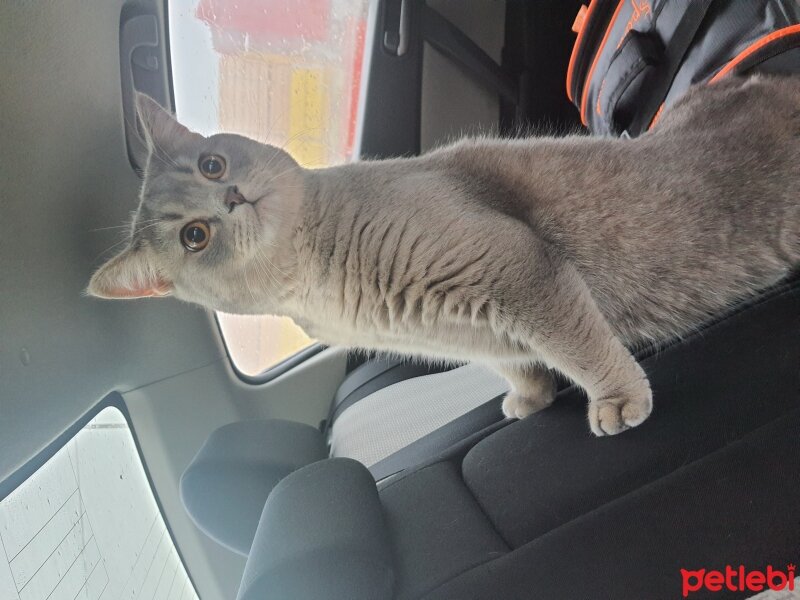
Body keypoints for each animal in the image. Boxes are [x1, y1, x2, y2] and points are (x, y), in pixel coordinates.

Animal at [84, 76, 796, 436]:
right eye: (193, 238)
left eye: (212, 163)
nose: (229, 197)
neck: (319, 278)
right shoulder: (460, 332)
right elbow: (512, 360)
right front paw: (530, 396)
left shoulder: (514, 266)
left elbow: (576, 344)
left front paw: (616, 399)